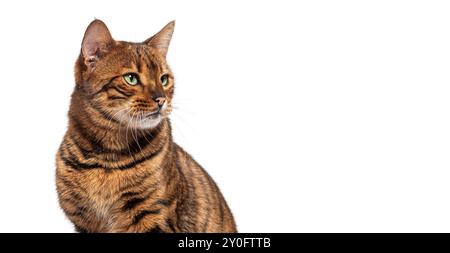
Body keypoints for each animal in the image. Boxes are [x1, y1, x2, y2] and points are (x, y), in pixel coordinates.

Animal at [55, 19, 237, 233]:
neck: (107, 158)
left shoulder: (154, 215)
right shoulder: (83, 221)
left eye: (164, 79)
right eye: (131, 78)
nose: (161, 99)